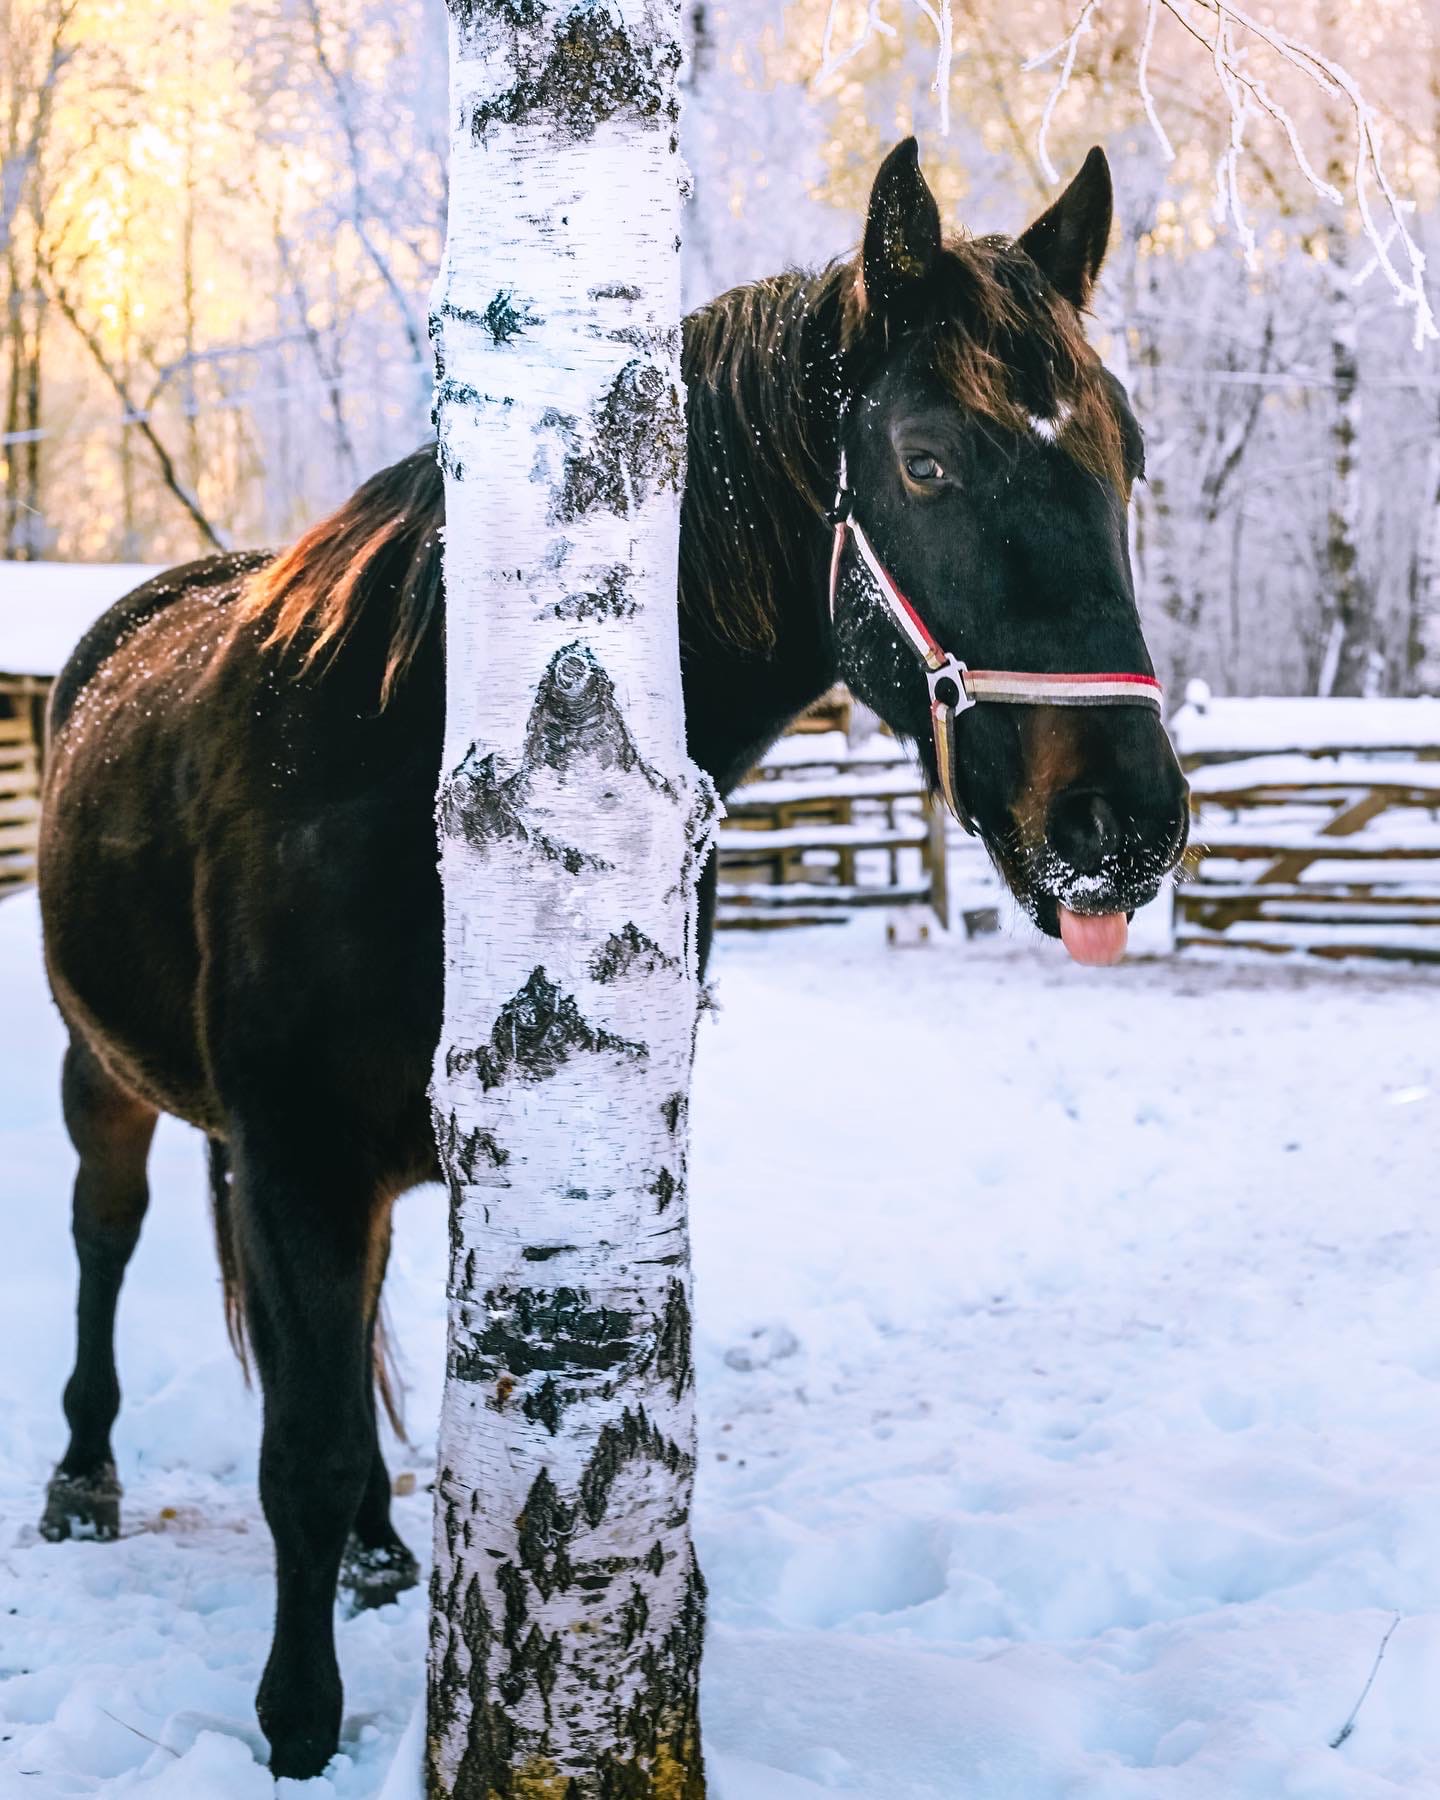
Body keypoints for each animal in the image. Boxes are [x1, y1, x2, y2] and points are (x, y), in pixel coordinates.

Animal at [39, 136, 1188, 1771]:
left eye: (1126, 457)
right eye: (926, 462)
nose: (1123, 825)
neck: (400, 769)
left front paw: (369, 1576)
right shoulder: (295, 1153)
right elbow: (297, 1454)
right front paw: (298, 1725)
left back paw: (379, 1553)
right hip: (104, 1073)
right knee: (105, 1233)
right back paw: (84, 1479)